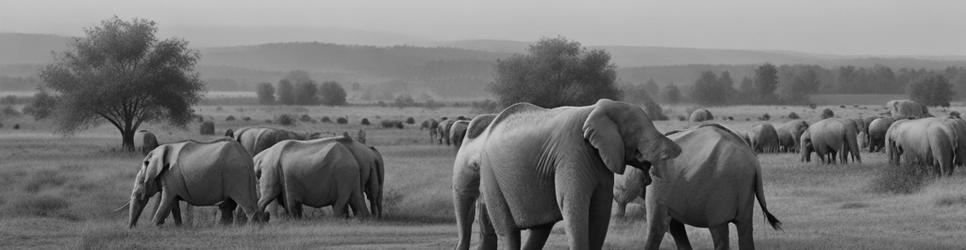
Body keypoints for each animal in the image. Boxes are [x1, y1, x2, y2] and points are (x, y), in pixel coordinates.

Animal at [129, 139, 266, 229]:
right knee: (229, 205)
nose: (132, 228)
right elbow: (173, 203)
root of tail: (247, 158)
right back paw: (224, 228)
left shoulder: (170, 176)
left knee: (245, 203)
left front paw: (151, 227)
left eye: (140, 185)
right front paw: (179, 227)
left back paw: (254, 228)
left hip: (236, 175)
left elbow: (166, 201)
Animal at [466, 98, 680, 249]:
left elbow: (600, 209)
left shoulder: (600, 161)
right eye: (636, 131)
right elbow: (573, 203)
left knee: (541, 229)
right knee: (508, 231)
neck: (596, 110)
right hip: (491, 177)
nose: (678, 151)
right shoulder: (571, 153)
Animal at [640, 124, 784, 250]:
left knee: (719, 232)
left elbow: (660, 226)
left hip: (721, 188)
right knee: (744, 228)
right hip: (744, 186)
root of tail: (754, 160)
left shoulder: (657, 187)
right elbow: (675, 228)